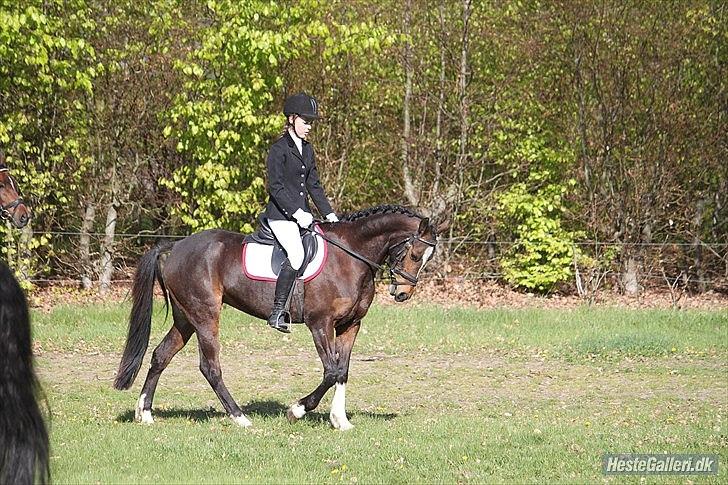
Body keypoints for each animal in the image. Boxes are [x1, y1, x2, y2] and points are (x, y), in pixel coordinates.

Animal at [114, 204, 446, 430]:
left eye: (424, 259)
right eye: (415, 254)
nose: (402, 293)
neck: (350, 256)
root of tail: (177, 245)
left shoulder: (350, 325)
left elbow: (343, 371)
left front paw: (340, 420)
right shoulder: (320, 324)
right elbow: (331, 371)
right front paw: (297, 410)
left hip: (186, 318)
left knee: (160, 355)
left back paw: (144, 413)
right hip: (206, 316)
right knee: (210, 367)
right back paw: (240, 418)